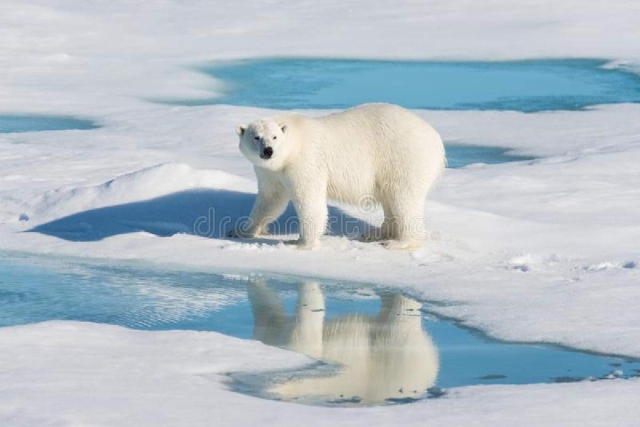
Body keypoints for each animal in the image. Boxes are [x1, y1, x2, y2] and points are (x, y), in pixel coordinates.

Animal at [230, 104, 444, 251]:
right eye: (256, 137)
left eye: (274, 137)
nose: (268, 151)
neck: (293, 143)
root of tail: (437, 140)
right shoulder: (271, 172)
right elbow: (270, 200)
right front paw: (239, 230)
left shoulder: (304, 162)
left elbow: (309, 201)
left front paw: (301, 243)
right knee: (390, 199)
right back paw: (374, 234)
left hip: (404, 158)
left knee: (403, 198)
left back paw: (399, 242)